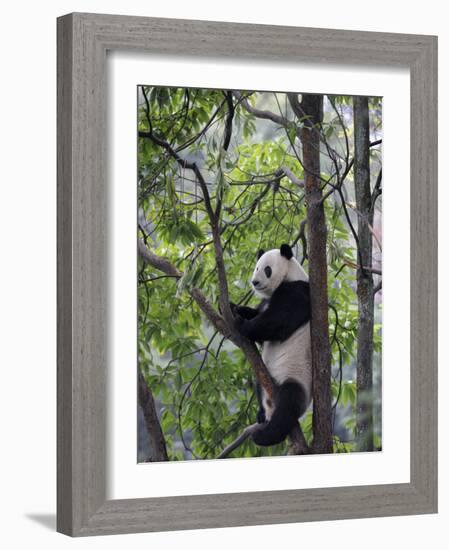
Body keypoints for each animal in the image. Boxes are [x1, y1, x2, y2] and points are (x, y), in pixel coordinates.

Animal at [231, 246, 312, 448]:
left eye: (267, 269)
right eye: (256, 267)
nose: (255, 282)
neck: (289, 275)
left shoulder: (296, 293)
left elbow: (276, 322)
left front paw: (241, 323)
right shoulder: (265, 302)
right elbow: (257, 312)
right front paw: (232, 307)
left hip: (297, 378)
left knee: (289, 403)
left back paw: (265, 436)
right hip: (264, 376)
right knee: (258, 384)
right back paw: (261, 415)